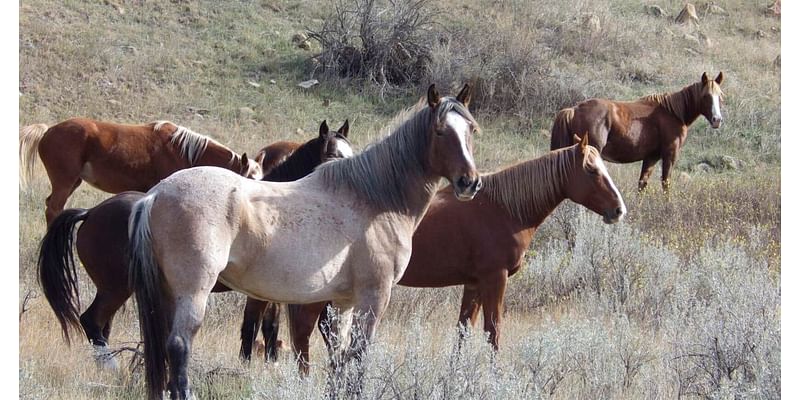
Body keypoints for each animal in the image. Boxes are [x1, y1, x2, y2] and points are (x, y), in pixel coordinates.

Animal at [18, 118, 262, 225]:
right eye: (247, 180)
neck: (183, 150)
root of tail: (48, 130)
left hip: (72, 182)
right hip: (65, 181)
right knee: (53, 208)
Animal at [130, 85, 482, 400]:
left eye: (471, 130)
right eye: (440, 131)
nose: (470, 182)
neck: (374, 198)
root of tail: (155, 194)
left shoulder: (343, 302)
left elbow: (338, 358)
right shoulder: (374, 296)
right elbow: (358, 358)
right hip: (193, 291)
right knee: (179, 346)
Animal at [278, 135, 628, 376]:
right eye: (592, 171)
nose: (618, 210)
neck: (503, 209)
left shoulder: (473, 284)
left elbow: (463, 331)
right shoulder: (494, 280)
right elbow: (493, 331)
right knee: (303, 334)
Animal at [552, 72, 724, 192]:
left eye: (720, 96)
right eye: (706, 96)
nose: (717, 119)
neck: (673, 113)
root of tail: (573, 110)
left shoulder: (651, 158)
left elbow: (642, 184)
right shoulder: (670, 154)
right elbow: (666, 183)